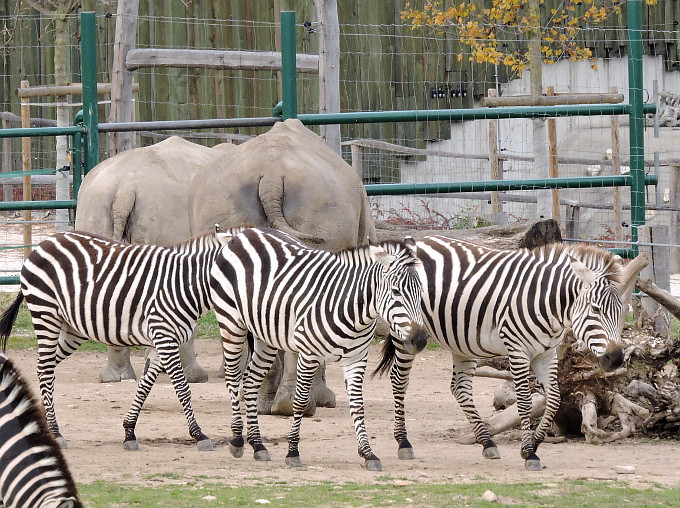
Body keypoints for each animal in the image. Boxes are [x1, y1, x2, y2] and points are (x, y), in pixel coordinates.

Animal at [0, 228, 243, 450]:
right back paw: (56, 432)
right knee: (46, 368)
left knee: (44, 367)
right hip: (45, 313)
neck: (184, 286)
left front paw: (129, 433)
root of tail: (45, 241)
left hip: (72, 329)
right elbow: (182, 387)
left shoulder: (160, 343)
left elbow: (144, 386)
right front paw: (199, 434)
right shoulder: (165, 337)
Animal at [210, 228, 428, 470]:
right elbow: (300, 401)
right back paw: (237, 440)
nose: (419, 340)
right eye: (396, 291)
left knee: (250, 381)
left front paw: (368, 453)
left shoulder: (356, 358)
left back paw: (258, 445)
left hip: (265, 335)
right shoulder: (309, 355)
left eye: (421, 290)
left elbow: (357, 405)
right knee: (232, 377)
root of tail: (245, 233)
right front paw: (292, 452)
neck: (352, 310)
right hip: (230, 322)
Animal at [374, 236, 624, 470]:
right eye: (596, 309)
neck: (547, 303)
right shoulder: (517, 349)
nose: (617, 359)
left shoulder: (547, 354)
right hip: (406, 334)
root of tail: (420, 241)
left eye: (621, 311)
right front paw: (529, 453)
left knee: (460, 387)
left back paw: (487, 443)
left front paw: (534, 444)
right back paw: (403, 442)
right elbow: (524, 402)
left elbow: (554, 399)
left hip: (461, 339)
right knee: (399, 379)